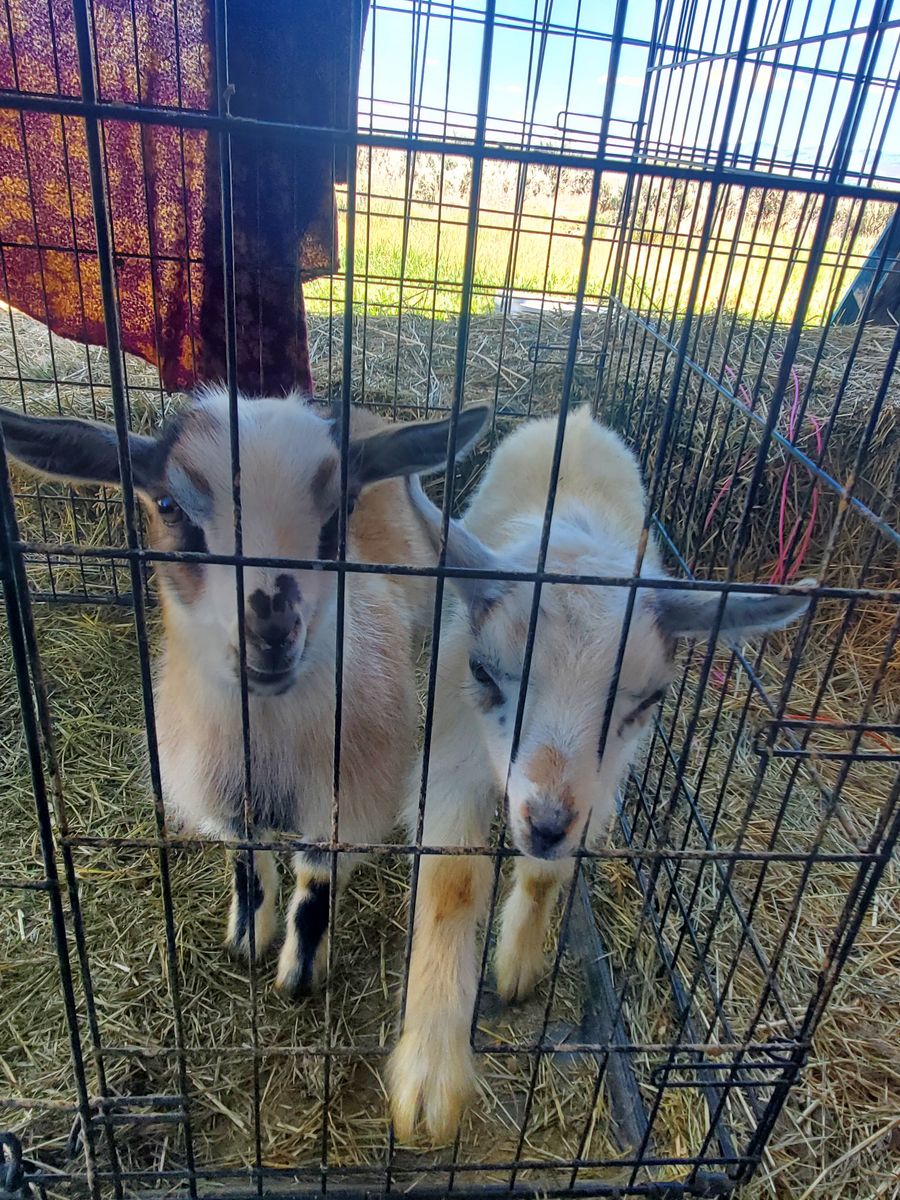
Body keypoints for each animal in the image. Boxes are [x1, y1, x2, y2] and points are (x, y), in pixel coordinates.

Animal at [0, 389, 489, 997]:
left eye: (342, 509)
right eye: (169, 504)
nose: (270, 628)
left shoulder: (348, 797)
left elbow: (315, 881)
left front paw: (299, 974)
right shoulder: (222, 789)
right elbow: (247, 861)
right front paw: (247, 938)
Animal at [389, 407, 811, 1140]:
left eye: (647, 701)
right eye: (483, 672)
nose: (544, 823)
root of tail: (578, 416)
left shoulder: (599, 787)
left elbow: (546, 872)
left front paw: (519, 963)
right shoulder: (452, 749)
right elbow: (452, 882)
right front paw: (431, 1078)